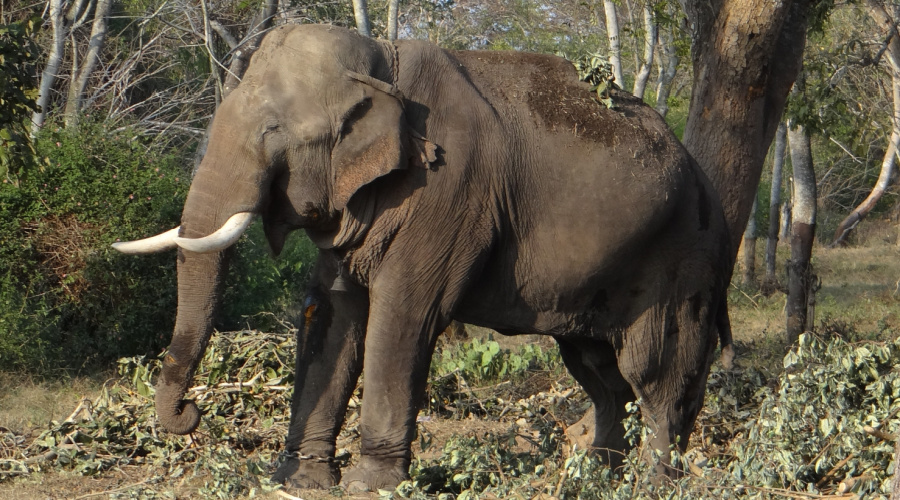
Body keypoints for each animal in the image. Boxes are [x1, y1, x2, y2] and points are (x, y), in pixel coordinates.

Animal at [114, 23, 732, 492]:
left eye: (272, 131)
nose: (189, 415)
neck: (382, 61)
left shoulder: (448, 192)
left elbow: (403, 315)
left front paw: (369, 486)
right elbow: (333, 314)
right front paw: (298, 481)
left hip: (683, 260)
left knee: (656, 373)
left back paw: (653, 484)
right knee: (600, 373)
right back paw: (594, 479)